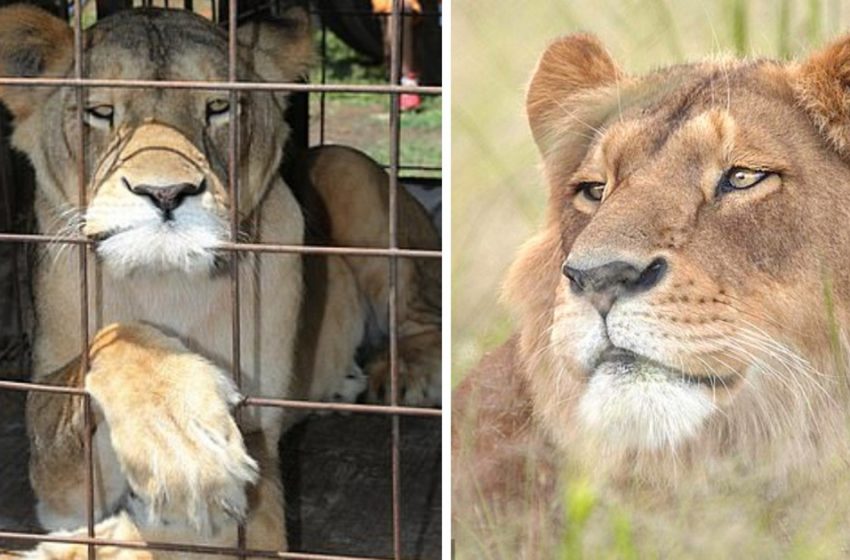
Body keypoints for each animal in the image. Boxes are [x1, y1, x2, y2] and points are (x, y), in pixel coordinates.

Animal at [0, 2, 444, 556]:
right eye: (100, 112)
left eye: (218, 107)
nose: (166, 193)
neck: (166, 284)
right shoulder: (58, 487)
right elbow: (111, 343)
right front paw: (178, 441)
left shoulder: (259, 459)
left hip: (346, 166)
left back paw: (404, 374)